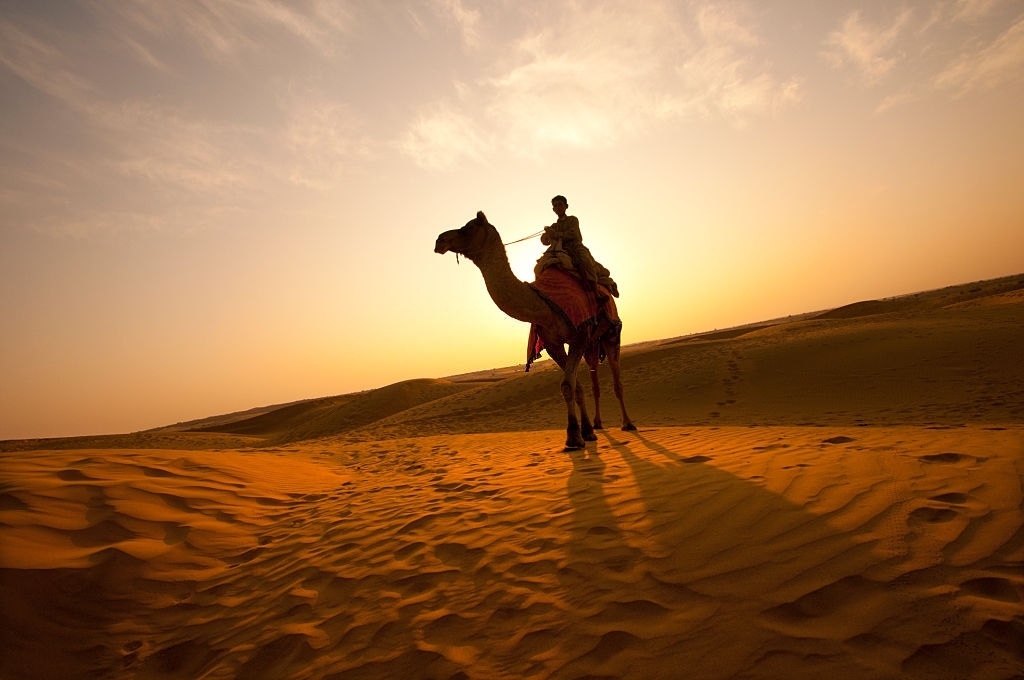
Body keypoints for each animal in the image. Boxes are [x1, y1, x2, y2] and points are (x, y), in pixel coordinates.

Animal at [434, 211, 636, 450]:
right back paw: (597, 424)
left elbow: (568, 384)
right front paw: (585, 433)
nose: (440, 240)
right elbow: (573, 386)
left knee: (617, 380)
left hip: (612, 334)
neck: (544, 304)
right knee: (595, 379)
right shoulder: (553, 344)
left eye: (469, 227)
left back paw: (628, 424)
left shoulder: (578, 336)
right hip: (592, 344)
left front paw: (573, 437)